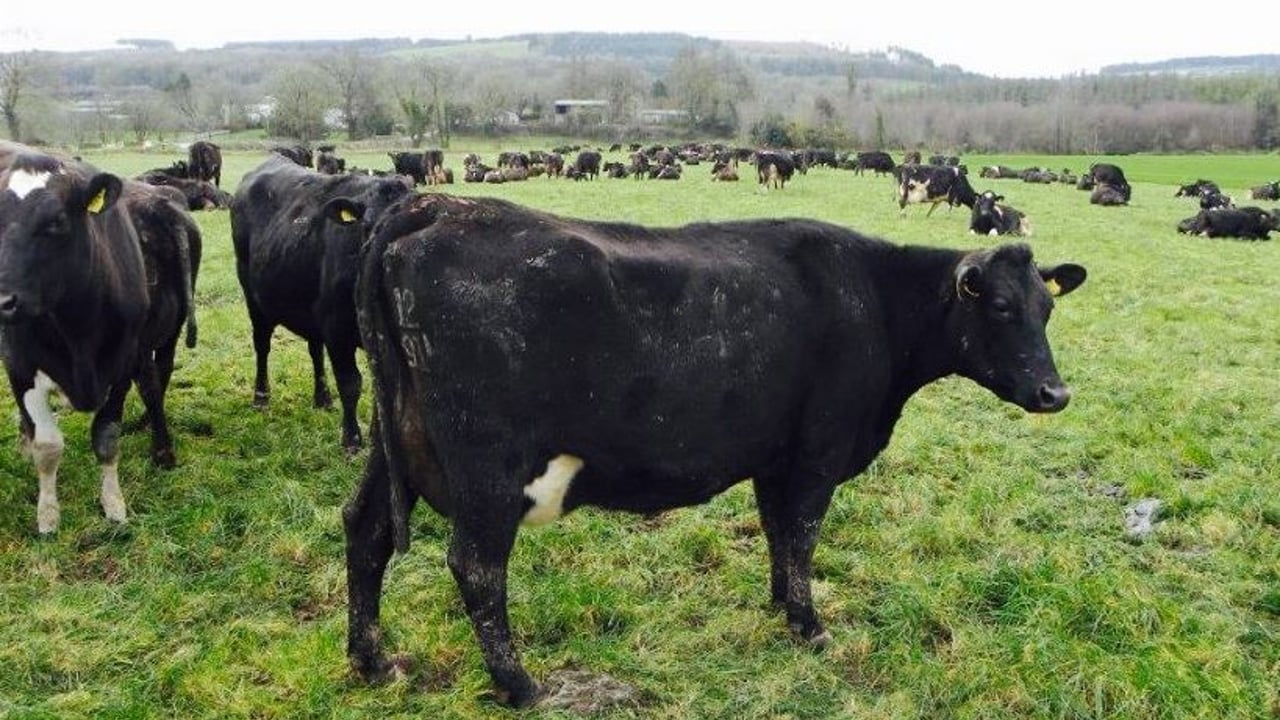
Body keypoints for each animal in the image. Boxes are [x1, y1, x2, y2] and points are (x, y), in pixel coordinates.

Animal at [0, 141, 200, 534]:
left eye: (57, 221)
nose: (1, 300)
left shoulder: (123, 361)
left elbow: (107, 435)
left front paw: (113, 504)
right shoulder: (20, 367)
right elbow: (49, 445)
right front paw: (48, 515)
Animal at [230, 155, 414, 453]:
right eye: (367, 227)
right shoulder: (337, 330)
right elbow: (351, 384)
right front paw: (352, 440)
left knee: (314, 349)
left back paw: (323, 397)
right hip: (254, 298)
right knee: (262, 345)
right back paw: (261, 396)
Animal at [343, 193, 1088, 708]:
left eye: (1047, 308)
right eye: (999, 308)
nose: (1055, 393)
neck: (874, 300)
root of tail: (432, 206)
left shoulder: (775, 456)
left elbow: (778, 533)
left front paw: (780, 604)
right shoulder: (820, 451)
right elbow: (804, 533)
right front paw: (810, 625)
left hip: (394, 443)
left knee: (366, 529)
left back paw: (372, 662)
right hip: (488, 471)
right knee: (475, 567)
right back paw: (520, 685)